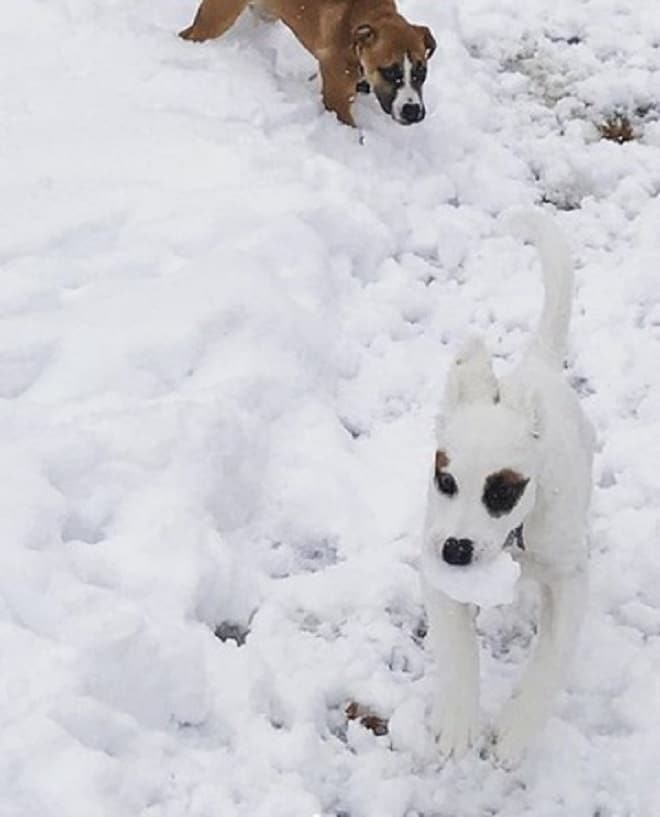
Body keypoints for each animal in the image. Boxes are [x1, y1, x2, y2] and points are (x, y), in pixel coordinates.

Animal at [420, 212, 596, 764]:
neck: (517, 538)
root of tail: (534, 366)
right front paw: (458, 721)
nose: (457, 551)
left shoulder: (569, 577)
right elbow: (457, 649)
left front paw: (518, 730)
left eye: (503, 491)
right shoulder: (434, 563)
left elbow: (551, 661)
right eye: (445, 480)